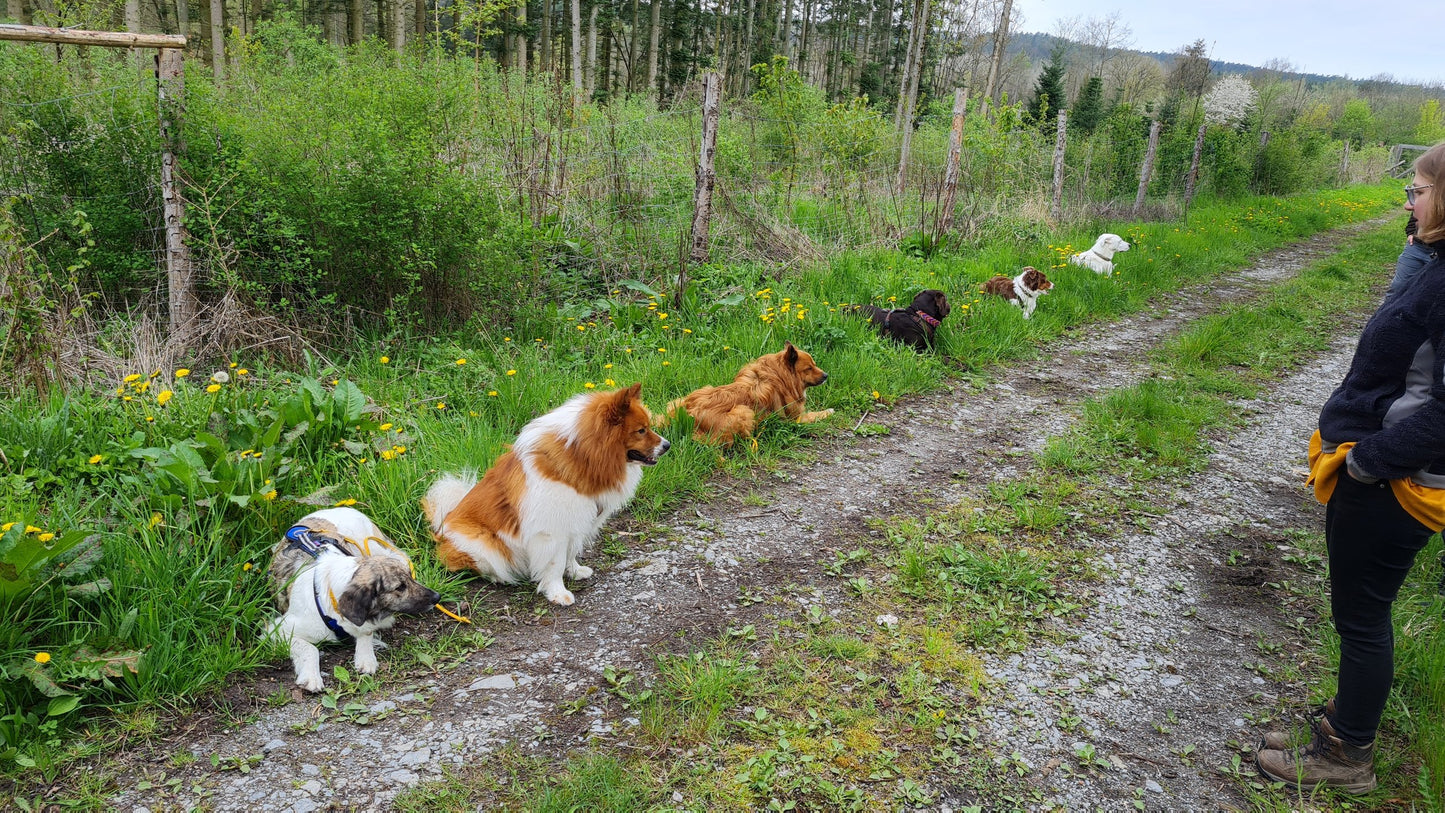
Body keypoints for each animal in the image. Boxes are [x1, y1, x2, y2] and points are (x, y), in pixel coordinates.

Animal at [268, 508, 439, 693]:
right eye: (400, 587)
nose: (437, 597)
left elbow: (366, 631)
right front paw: (312, 677)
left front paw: (366, 658)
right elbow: (310, 648)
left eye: (410, 578)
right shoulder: (278, 629)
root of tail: (344, 507)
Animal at [419, 384, 664, 606]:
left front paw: (575, 571)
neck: (581, 457)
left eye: (648, 427)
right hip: (483, 544)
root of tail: (443, 525)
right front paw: (557, 593)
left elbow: (571, 552)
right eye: (641, 430)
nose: (667, 445)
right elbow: (555, 564)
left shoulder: (576, 519)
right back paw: (499, 577)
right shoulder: (550, 530)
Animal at [661, 343, 832, 444]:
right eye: (809, 368)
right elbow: (816, 414)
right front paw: (829, 411)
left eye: (814, 365)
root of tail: (687, 412)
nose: (826, 375)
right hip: (744, 412)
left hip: (688, 396)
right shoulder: (796, 418)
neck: (779, 375)